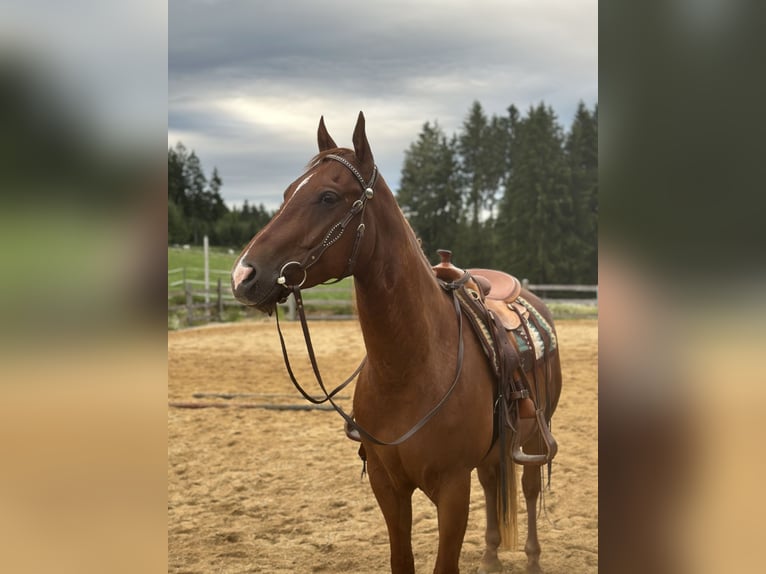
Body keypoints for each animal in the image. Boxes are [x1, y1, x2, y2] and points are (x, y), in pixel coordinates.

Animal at [231, 112, 562, 574]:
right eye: (285, 193)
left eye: (328, 196)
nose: (243, 276)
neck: (410, 368)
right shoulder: (386, 486)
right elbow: (401, 558)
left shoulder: (452, 490)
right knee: (493, 481)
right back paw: (492, 557)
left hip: (534, 434)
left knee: (529, 488)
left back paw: (531, 558)